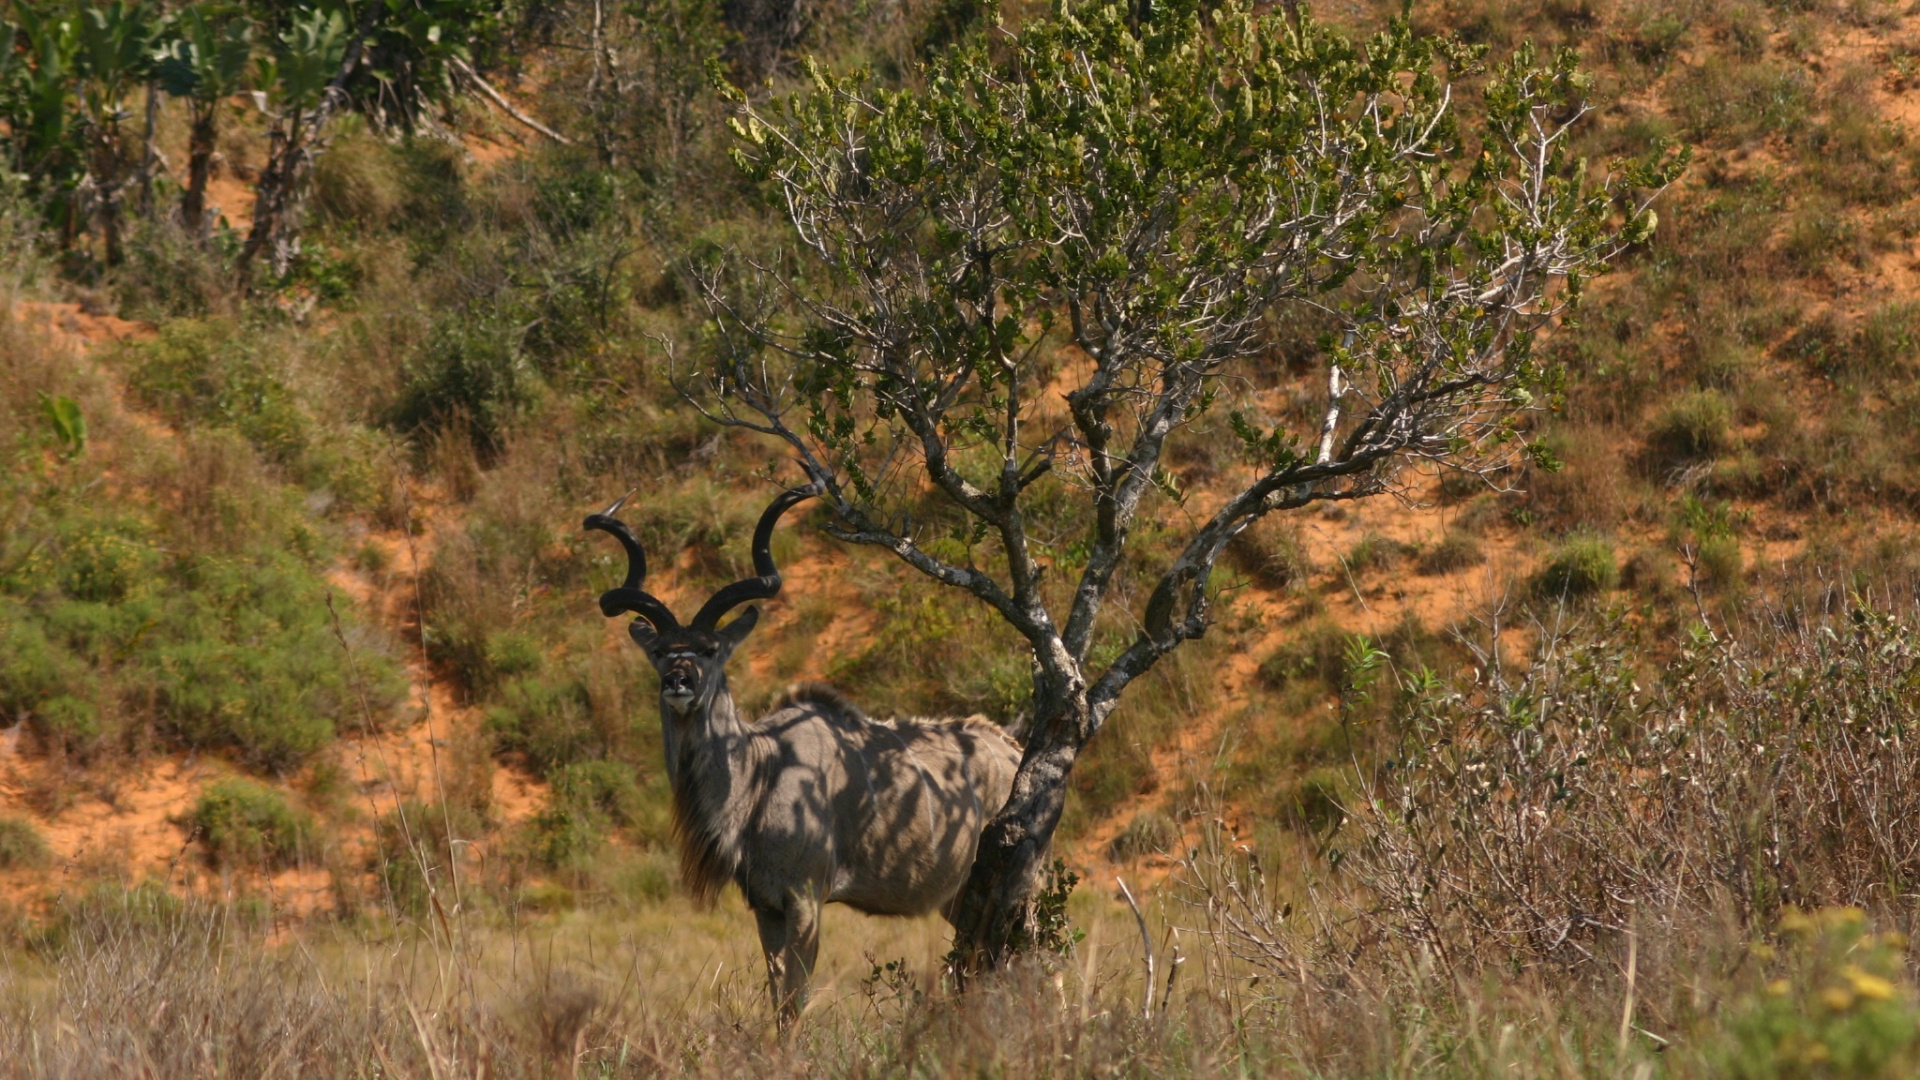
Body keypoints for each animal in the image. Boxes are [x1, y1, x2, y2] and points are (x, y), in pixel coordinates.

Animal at [579, 484, 1021, 1022]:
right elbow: (778, 1000)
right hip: (959, 899)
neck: (761, 771)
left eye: (708, 649)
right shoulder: (767, 906)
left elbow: (794, 1002)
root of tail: (1013, 748)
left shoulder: (807, 899)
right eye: (661, 651)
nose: (678, 682)